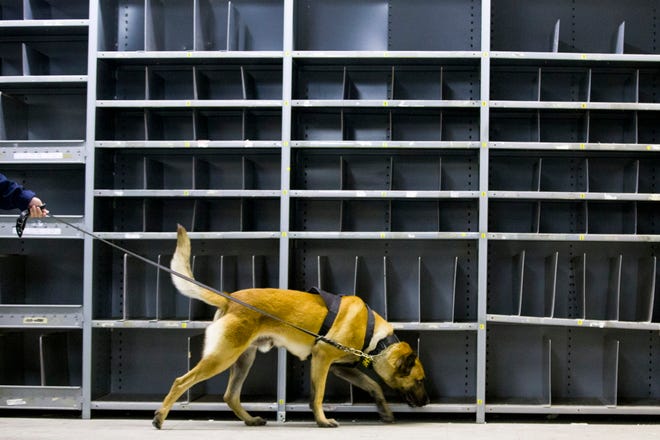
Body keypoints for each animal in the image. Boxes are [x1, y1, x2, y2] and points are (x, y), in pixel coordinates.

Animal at [153, 225, 428, 428]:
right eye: (419, 380)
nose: (426, 402)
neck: (376, 338)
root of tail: (229, 297)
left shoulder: (340, 368)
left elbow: (374, 385)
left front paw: (384, 410)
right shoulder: (322, 358)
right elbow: (318, 395)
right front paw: (322, 421)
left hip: (244, 359)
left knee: (230, 395)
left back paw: (250, 420)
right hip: (223, 356)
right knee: (181, 381)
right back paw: (160, 417)